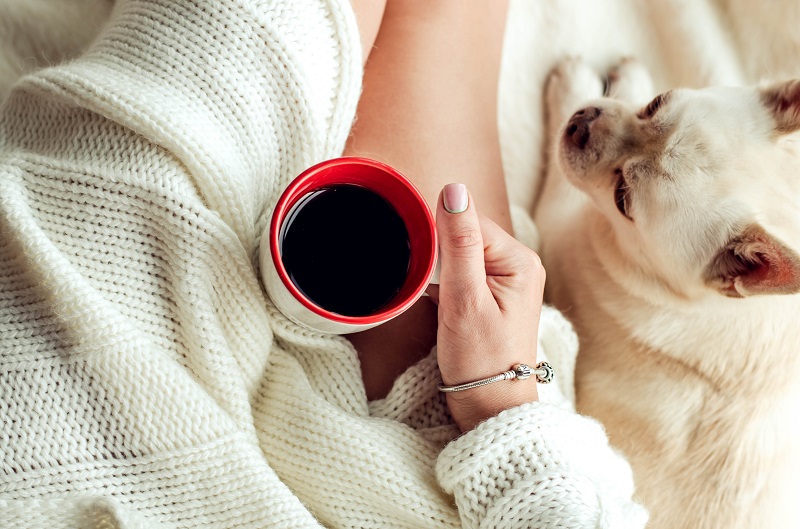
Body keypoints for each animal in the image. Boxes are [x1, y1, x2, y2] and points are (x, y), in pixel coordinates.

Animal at [536, 57, 800, 528]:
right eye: (655, 103)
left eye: (623, 198)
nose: (580, 122)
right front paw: (624, 80)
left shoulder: (560, 226)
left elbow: (563, 182)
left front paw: (574, 84)